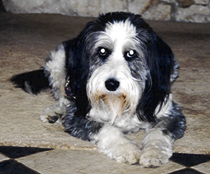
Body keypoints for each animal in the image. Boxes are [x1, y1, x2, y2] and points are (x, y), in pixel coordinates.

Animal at [11, 11, 185, 167]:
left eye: (131, 53)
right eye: (102, 51)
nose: (111, 84)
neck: (118, 102)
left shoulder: (171, 114)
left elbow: (159, 132)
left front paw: (153, 154)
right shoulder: (79, 116)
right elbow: (107, 128)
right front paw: (127, 150)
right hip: (59, 62)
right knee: (63, 97)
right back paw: (55, 112)